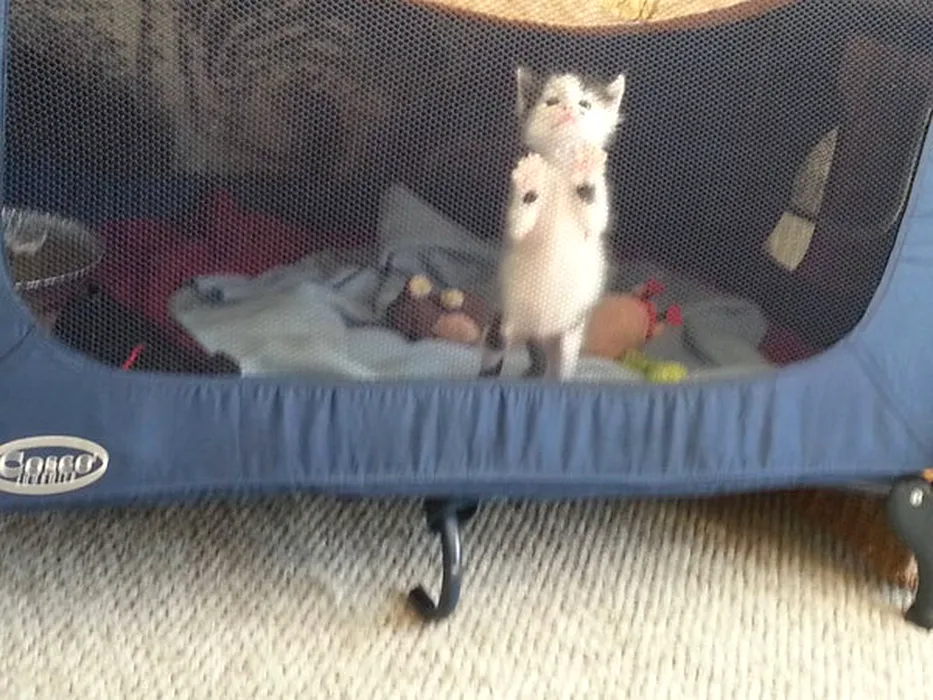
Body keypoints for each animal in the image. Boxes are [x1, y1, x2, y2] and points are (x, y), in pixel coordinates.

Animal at [479, 66, 627, 380]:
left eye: (585, 104)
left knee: (561, 368)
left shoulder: (597, 218)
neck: (560, 165)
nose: (569, 110)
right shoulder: (514, 221)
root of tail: (539, 332)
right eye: (551, 101)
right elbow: (518, 224)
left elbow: (595, 220)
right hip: (503, 324)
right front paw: (531, 180)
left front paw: (586, 171)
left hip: (570, 336)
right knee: (494, 355)